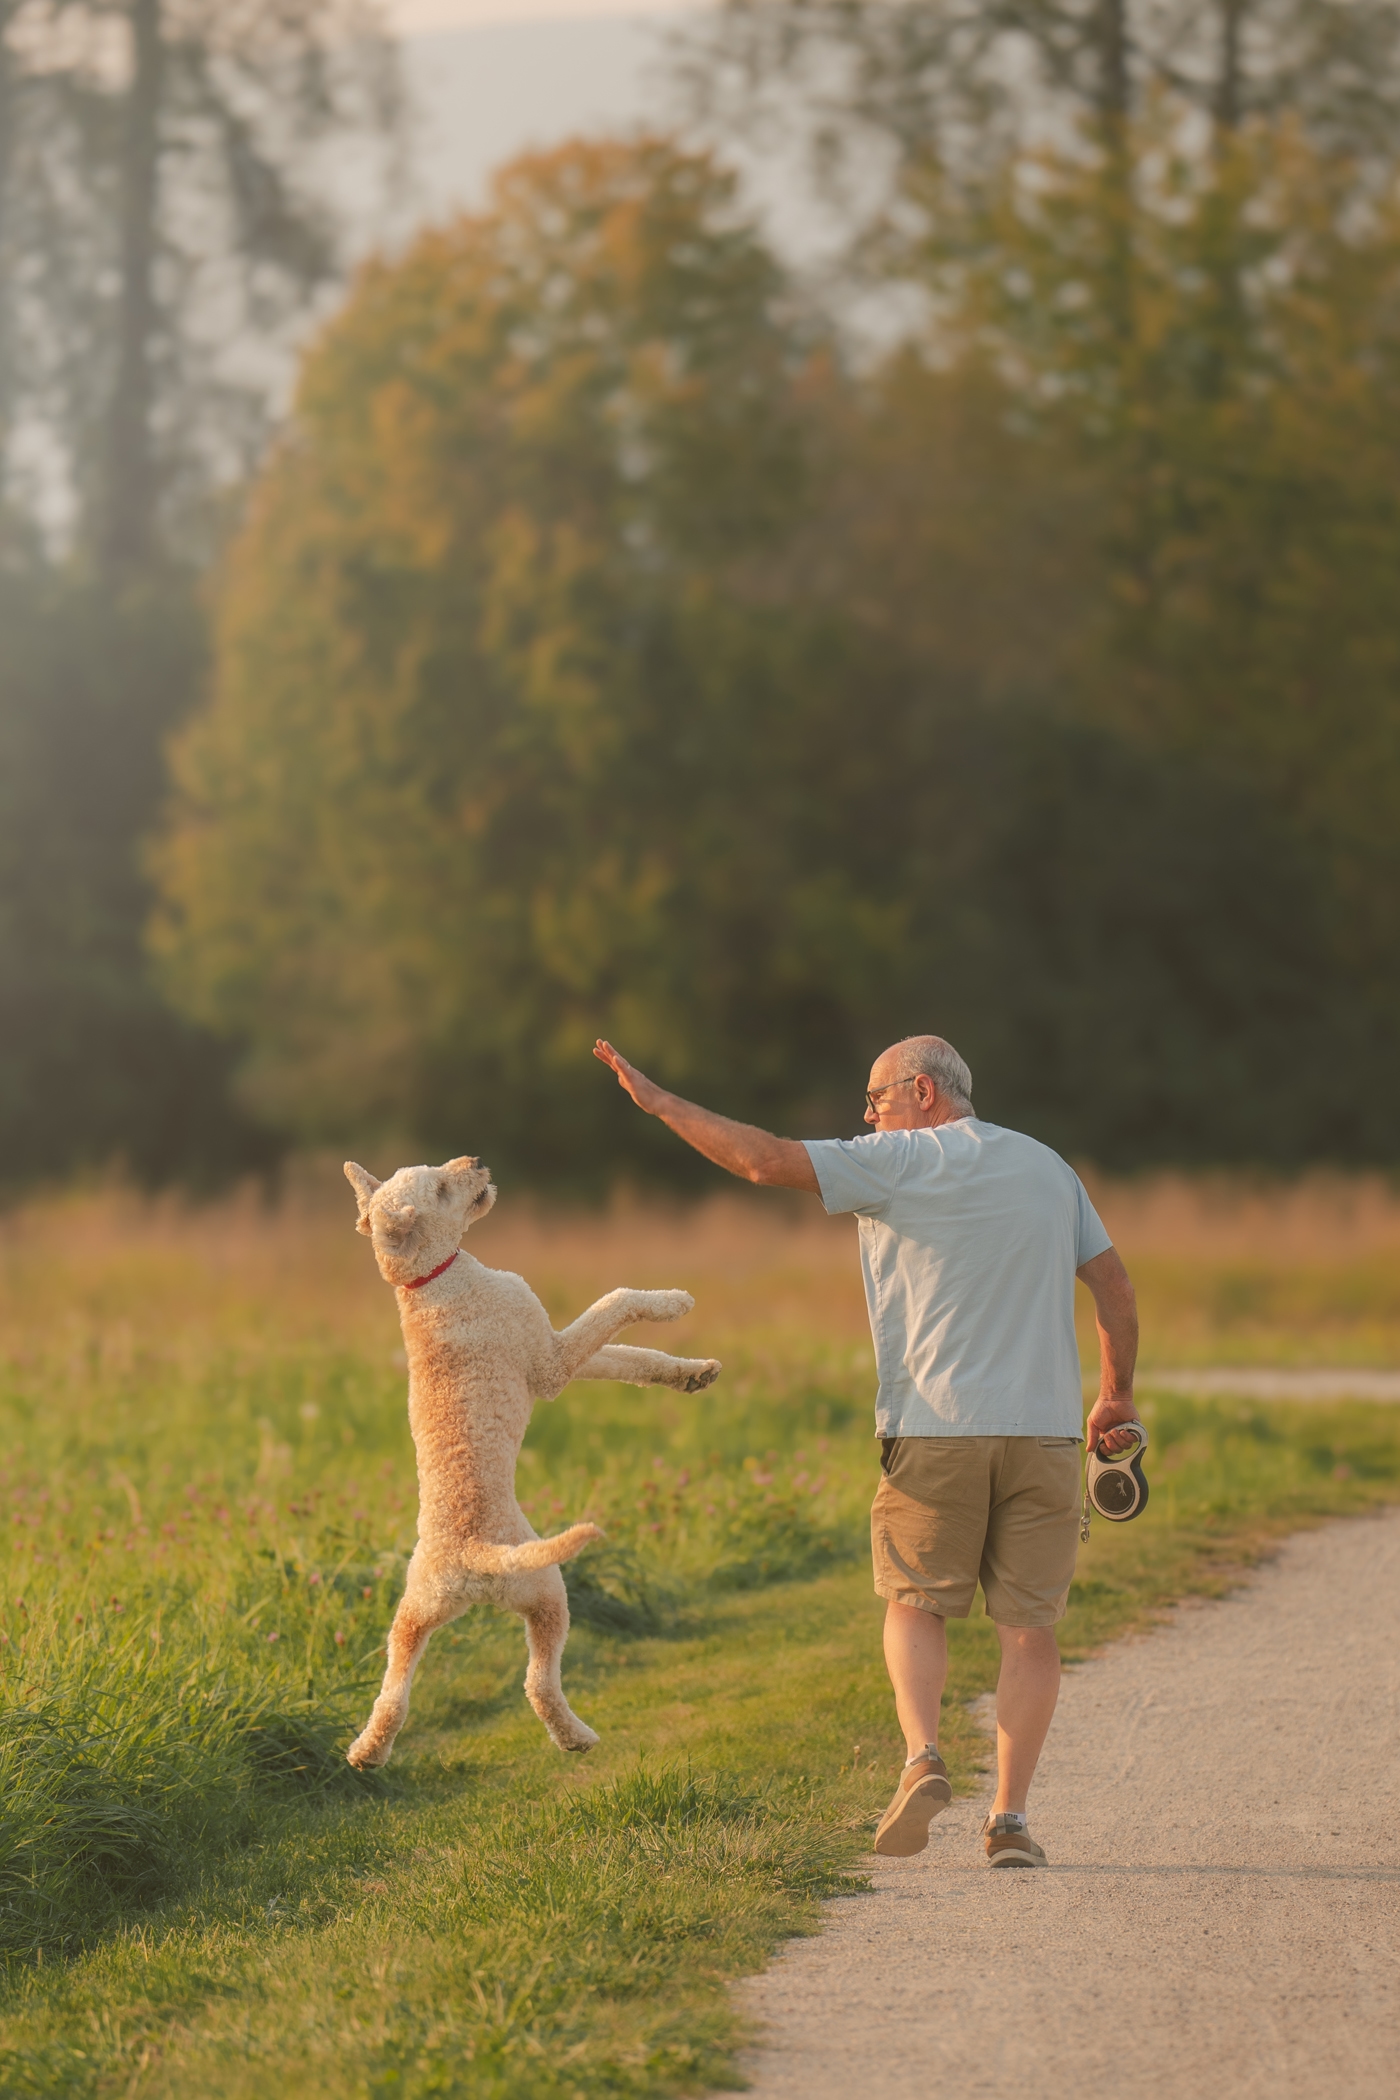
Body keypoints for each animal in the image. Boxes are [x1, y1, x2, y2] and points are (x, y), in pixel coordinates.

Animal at [342, 1159, 722, 1763]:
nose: (476, 1164)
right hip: (547, 1590)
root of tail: (473, 1561)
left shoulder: (553, 1350)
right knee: (538, 1682)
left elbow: (629, 1357)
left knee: (393, 1698)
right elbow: (615, 1304)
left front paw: (691, 1374)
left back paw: (366, 1753)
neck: (427, 1280)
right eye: (441, 1188)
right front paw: (674, 1303)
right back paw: (578, 1738)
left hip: (412, 1617)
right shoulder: (550, 1362)